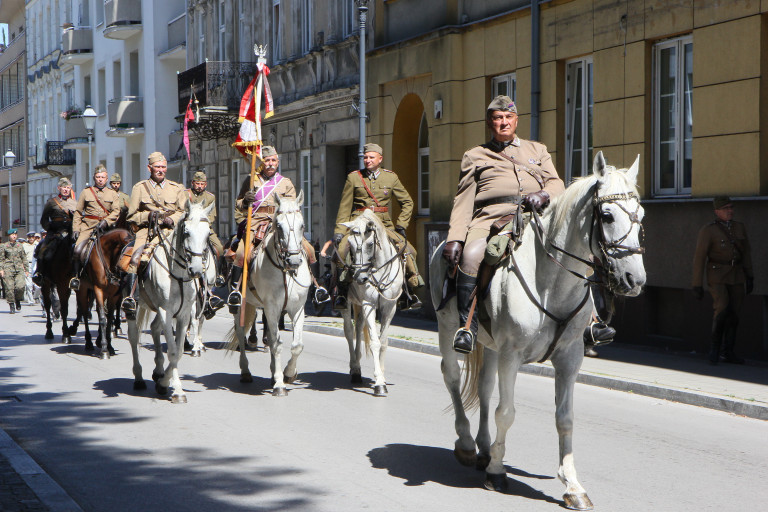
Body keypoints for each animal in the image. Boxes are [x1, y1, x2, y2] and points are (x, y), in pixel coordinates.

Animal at [76, 230, 131, 358]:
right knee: (84, 312)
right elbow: (102, 318)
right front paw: (105, 349)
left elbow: (109, 318)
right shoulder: (99, 290)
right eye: (128, 253)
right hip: (82, 290)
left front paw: (109, 346)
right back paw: (88, 342)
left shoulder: (113, 294)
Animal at [127, 200, 213, 404]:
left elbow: (179, 350)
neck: (178, 275)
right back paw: (139, 378)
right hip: (133, 307)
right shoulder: (166, 311)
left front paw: (165, 382)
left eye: (208, 233)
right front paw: (177, 390)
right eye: (187, 232)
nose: (197, 270)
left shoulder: (182, 314)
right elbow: (173, 350)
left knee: (154, 328)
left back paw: (158, 371)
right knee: (134, 336)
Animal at [226, 192, 310, 396]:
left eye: (302, 225)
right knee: (241, 335)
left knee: (270, 338)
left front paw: (288, 374)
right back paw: (246, 372)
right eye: (279, 226)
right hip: (241, 307)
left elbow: (296, 345)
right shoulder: (272, 307)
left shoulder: (297, 309)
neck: (285, 271)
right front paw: (280, 385)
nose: (294, 260)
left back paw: (273, 373)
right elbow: (277, 344)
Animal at [338, 208, 404, 396]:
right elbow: (375, 341)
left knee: (359, 328)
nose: (360, 278)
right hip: (347, 304)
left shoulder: (390, 307)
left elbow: (383, 342)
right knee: (349, 331)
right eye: (350, 246)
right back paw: (354, 369)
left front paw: (381, 375)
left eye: (369, 245)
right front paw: (379, 383)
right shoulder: (369, 304)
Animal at [428, 151, 644, 508]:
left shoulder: (570, 358)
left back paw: (484, 448)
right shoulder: (511, 356)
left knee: (484, 388)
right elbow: (506, 412)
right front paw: (497, 473)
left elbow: (564, 418)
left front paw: (573, 486)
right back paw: (467, 445)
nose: (634, 279)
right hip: (447, 328)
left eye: (641, 215)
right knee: (452, 377)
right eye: (607, 215)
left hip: (489, 345)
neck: (551, 283)